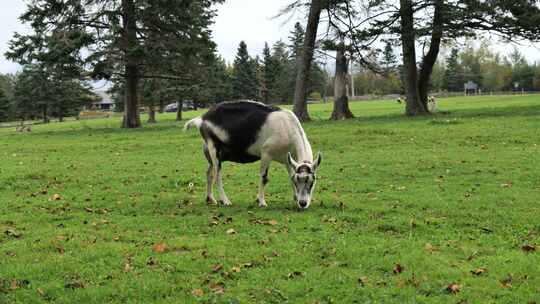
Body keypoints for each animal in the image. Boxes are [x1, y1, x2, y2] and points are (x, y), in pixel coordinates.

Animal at [184, 101, 322, 209]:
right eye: (300, 180)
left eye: (312, 181)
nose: (303, 203)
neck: (288, 128)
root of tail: (201, 119)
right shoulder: (266, 153)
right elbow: (264, 178)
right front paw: (261, 202)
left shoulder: (288, 159)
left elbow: (290, 176)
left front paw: (295, 198)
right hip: (214, 149)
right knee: (217, 175)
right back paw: (225, 201)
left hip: (210, 154)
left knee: (209, 173)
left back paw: (210, 199)